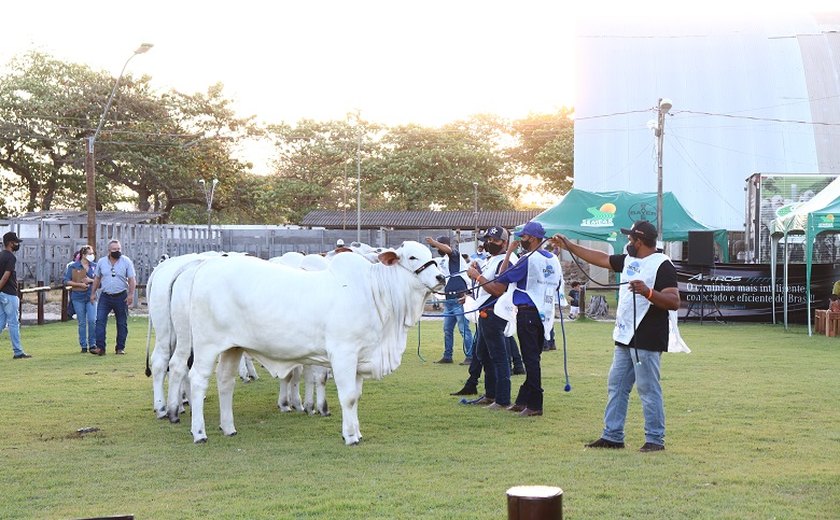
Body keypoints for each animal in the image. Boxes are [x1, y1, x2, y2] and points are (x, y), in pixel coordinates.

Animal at [164, 242, 446, 444]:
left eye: (430, 254)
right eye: (412, 257)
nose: (441, 278)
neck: (373, 292)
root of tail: (201, 268)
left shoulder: (359, 358)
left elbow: (356, 397)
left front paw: (355, 431)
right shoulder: (343, 354)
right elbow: (348, 397)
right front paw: (350, 436)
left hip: (232, 347)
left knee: (225, 382)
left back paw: (228, 427)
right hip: (205, 345)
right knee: (196, 378)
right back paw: (198, 431)